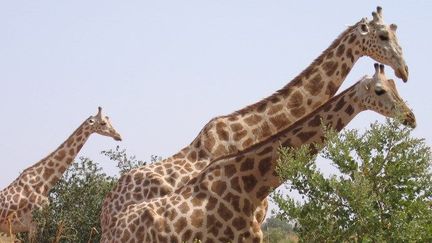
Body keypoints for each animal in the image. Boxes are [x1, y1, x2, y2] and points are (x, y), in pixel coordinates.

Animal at [0, 107, 121, 236]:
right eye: (103, 123)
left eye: (108, 120)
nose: (119, 135)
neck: (45, 182)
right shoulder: (33, 225)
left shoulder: (40, 224)